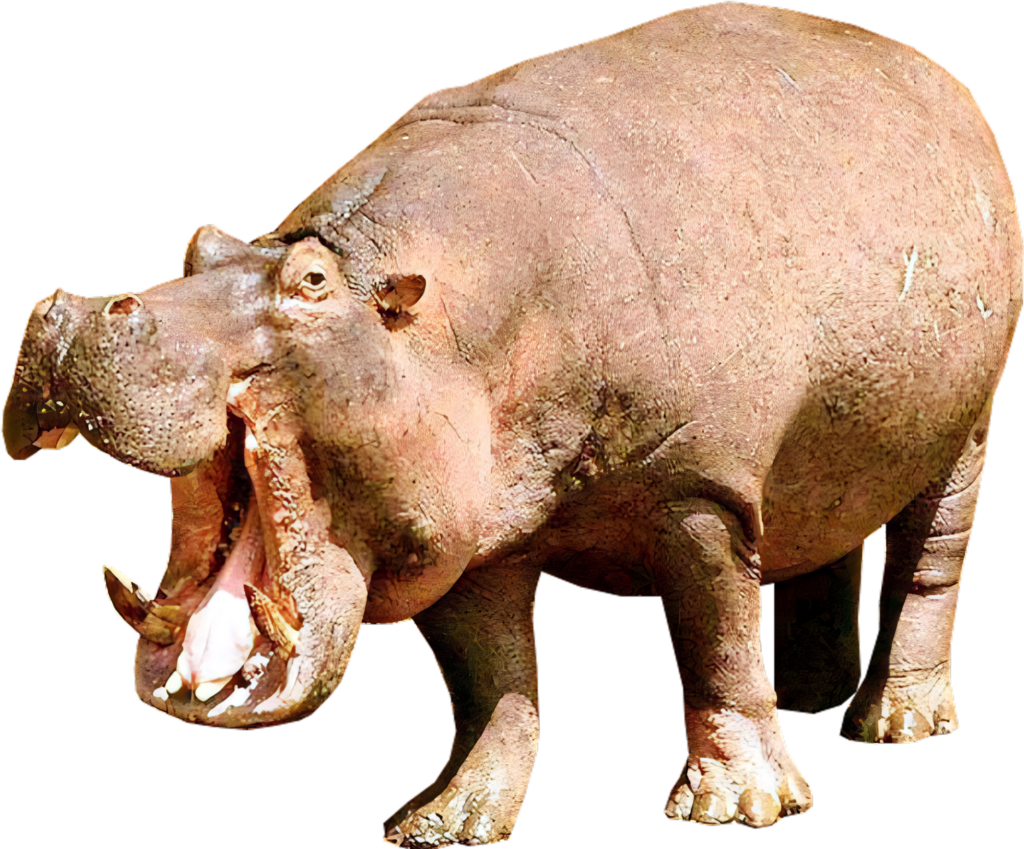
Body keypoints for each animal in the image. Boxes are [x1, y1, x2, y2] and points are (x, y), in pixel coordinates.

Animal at [4, 1, 1021, 842]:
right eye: (199, 244)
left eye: (311, 283)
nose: (77, 310)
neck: (425, 312)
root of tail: (932, 72)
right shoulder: (466, 534)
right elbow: (490, 681)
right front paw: (445, 821)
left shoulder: (699, 490)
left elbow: (715, 642)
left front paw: (736, 809)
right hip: (821, 449)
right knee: (819, 538)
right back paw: (809, 704)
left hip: (969, 423)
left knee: (930, 559)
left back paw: (895, 723)